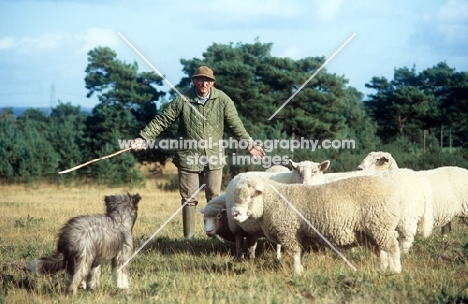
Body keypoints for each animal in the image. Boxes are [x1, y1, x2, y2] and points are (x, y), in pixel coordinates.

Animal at [230, 175, 410, 274]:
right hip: (373, 231)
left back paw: (395, 270)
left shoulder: (289, 233)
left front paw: (296, 272)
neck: (272, 201)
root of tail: (398, 192)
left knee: (393, 248)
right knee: (382, 251)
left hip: (381, 226)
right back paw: (383, 268)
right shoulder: (299, 235)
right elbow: (300, 254)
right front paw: (301, 270)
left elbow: (294, 255)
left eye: (250, 197)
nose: (234, 214)